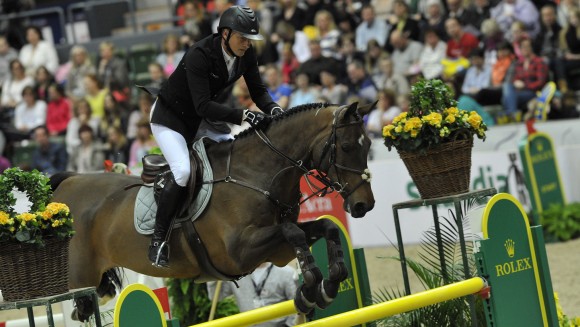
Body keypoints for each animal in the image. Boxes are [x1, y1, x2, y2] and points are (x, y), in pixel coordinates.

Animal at [49, 101, 376, 322]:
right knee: (81, 309)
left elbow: (324, 227)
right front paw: (310, 288)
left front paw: (324, 288)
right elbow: (293, 231)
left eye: (369, 144)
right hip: (81, 280)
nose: (365, 205)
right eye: (347, 146)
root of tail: (66, 186)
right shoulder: (239, 252)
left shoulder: (276, 251)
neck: (256, 174)